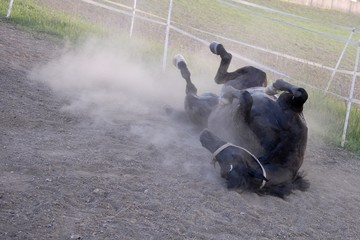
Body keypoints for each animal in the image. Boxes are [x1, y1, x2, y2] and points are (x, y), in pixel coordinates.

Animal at [173, 42, 308, 198]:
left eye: (228, 161)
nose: (204, 136)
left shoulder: (238, 121)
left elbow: (245, 97)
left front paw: (229, 95)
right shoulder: (291, 106)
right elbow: (301, 93)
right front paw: (273, 88)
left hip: (193, 103)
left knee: (193, 86)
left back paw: (182, 62)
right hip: (253, 75)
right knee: (225, 74)